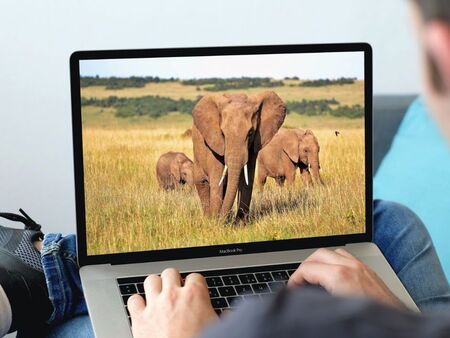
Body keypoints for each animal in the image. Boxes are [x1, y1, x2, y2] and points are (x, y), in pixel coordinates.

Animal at [192, 91, 286, 220]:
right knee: (202, 183)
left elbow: (247, 178)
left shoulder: (254, 144)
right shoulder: (213, 141)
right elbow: (217, 177)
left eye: (250, 132)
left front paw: (240, 223)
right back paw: (208, 218)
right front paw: (215, 221)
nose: (221, 218)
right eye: (223, 134)